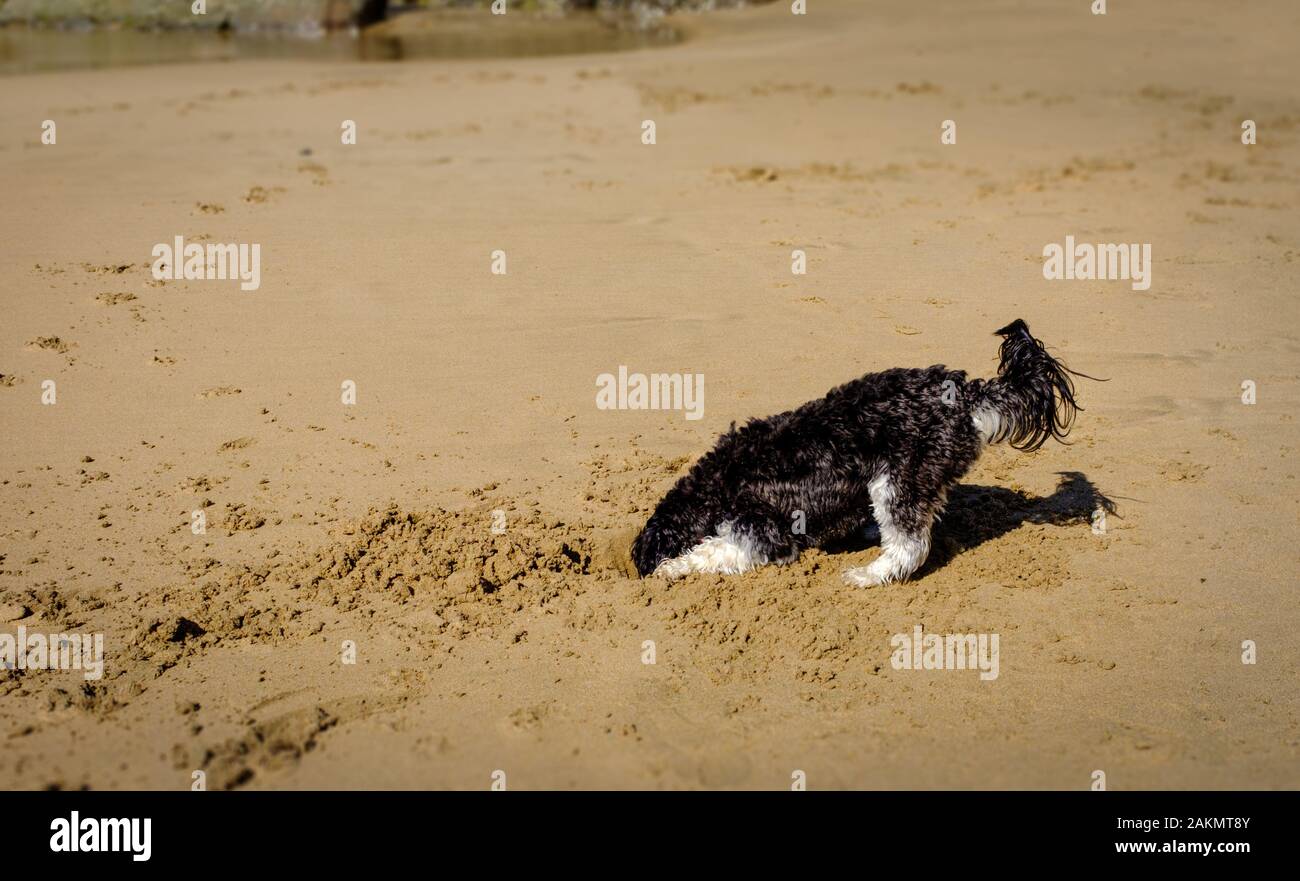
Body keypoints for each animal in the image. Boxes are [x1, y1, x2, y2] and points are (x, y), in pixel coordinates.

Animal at [629, 320, 1086, 589]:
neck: (715, 487)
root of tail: (964, 395)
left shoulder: (762, 533)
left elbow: (712, 551)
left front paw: (673, 567)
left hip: (898, 478)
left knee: (910, 545)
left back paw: (869, 575)